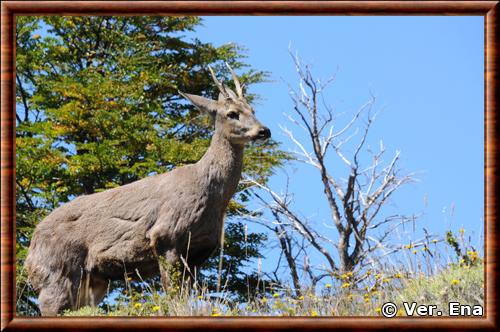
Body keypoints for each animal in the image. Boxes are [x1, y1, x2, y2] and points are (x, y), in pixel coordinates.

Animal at [25, 63, 272, 316]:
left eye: (252, 109)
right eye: (232, 113)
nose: (264, 131)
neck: (210, 192)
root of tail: (31, 247)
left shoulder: (199, 251)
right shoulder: (166, 235)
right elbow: (173, 295)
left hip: (93, 281)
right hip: (56, 272)